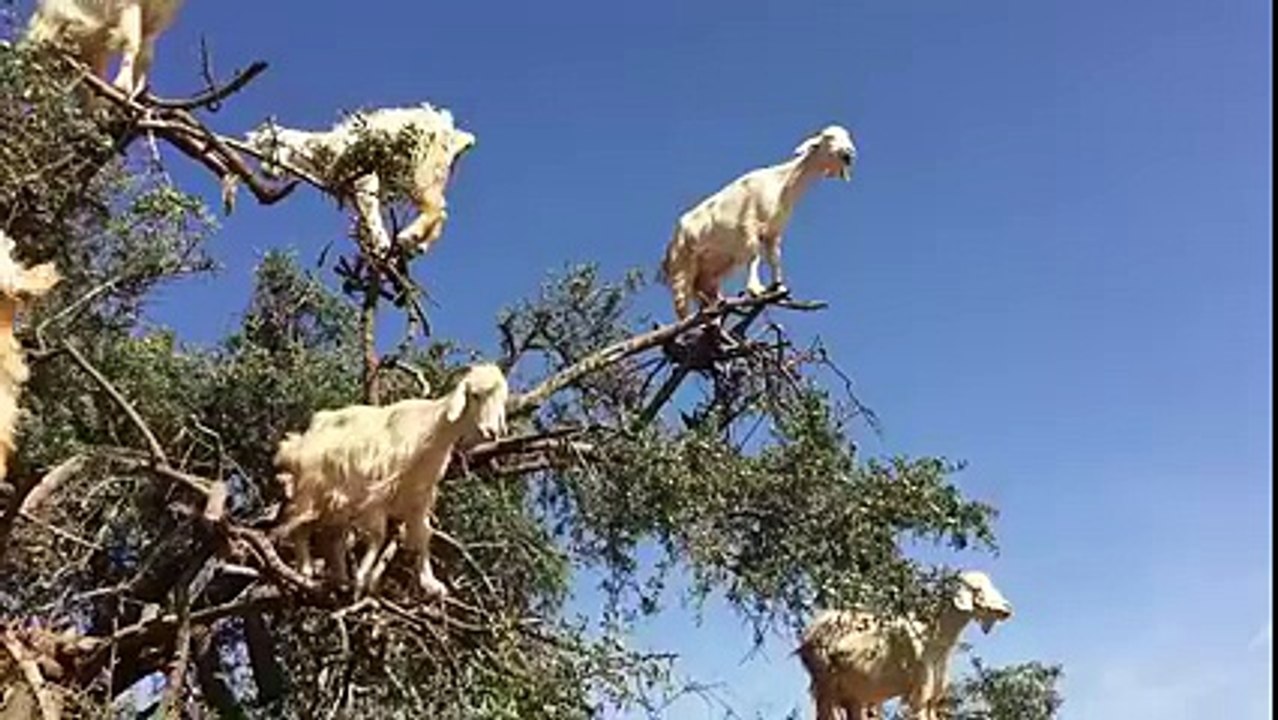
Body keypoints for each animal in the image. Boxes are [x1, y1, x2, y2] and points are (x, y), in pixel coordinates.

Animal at [24, 0, 185, 98]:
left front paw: (138, 91)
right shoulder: (129, 5)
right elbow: (131, 43)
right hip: (54, 20)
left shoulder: (152, 22)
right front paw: (122, 87)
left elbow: (146, 57)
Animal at [245, 103, 476, 257]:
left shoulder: (364, 175)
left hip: (422, 169)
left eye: (273, 144)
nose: (266, 173)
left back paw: (407, 237)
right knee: (442, 212)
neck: (322, 149)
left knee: (436, 207)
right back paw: (419, 245)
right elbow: (364, 211)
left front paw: (381, 242)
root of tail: (456, 134)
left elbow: (370, 207)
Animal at [272, 363, 508, 598]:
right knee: (299, 527)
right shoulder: (376, 493)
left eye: (501, 400)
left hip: (336, 502)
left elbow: (423, 535)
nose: (491, 432)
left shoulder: (418, 497)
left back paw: (339, 577)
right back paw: (306, 569)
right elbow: (378, 535)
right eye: (475, 395)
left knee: (333, 538)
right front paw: (363, 577)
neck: (433, 430)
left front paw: (431, 583)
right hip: (310, 489)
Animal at [660, 125, 856, 320]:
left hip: (710, 271)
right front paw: (755, 289)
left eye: (847, 136)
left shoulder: (773, 232)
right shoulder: (749, 226)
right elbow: (754, 256)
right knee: (681, 306)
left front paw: (780, 289)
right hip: (681, 267)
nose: (849, 153)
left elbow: (775, 259)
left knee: (707, 295)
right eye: (829, 137)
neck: (781, 184)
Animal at [796, 571, 1013, 720]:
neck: (931, 631)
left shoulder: (933, 695)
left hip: (852, 692)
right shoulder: (919, 691)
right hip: (824, 682)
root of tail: (808, 633)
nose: (1007, 609)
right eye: (977, 589)